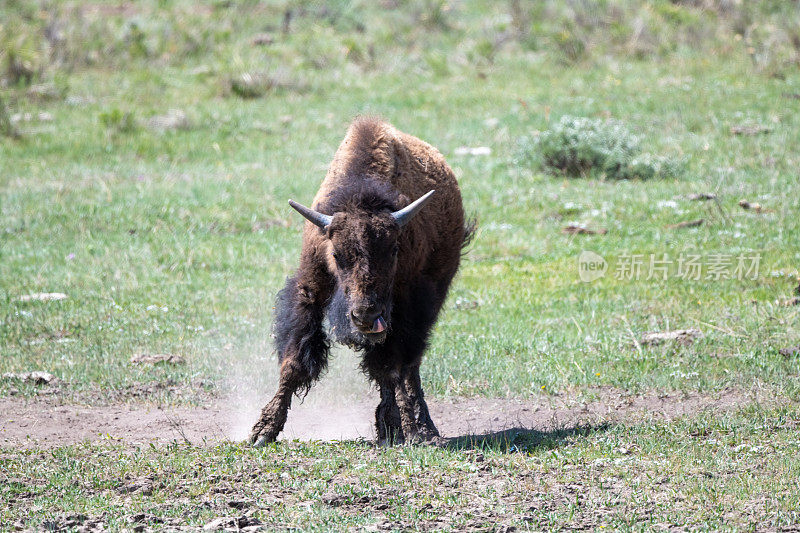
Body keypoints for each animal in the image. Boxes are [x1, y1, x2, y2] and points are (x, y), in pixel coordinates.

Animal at [250, 116, 472, 444]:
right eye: (336, 254)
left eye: (394, 250)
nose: (365, 316)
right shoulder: (310, 288)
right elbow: (293, 362)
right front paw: (263, 431)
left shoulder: (405, 307)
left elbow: (393, 368)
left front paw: (406, 429)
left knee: (408, 367)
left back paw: (421, 429)